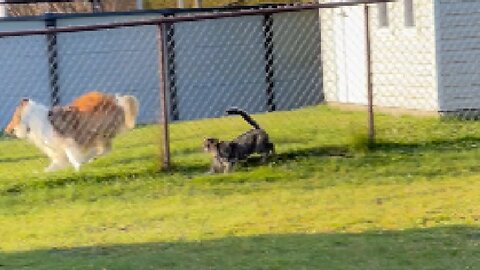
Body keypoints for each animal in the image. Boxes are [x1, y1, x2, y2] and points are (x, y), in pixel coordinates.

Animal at [4, 90, 139, 171]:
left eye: (13, 118)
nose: (6, 130)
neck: (33, 120)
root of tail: (116, 100)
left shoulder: (67, 142)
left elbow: (72, 156)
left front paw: (78, 168)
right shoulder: (58, 150)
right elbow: (56, 164)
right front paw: (42, 172)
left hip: (95, 130)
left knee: (104, 148)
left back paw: (88, 158)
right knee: (103, 149)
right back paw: (89, 158)